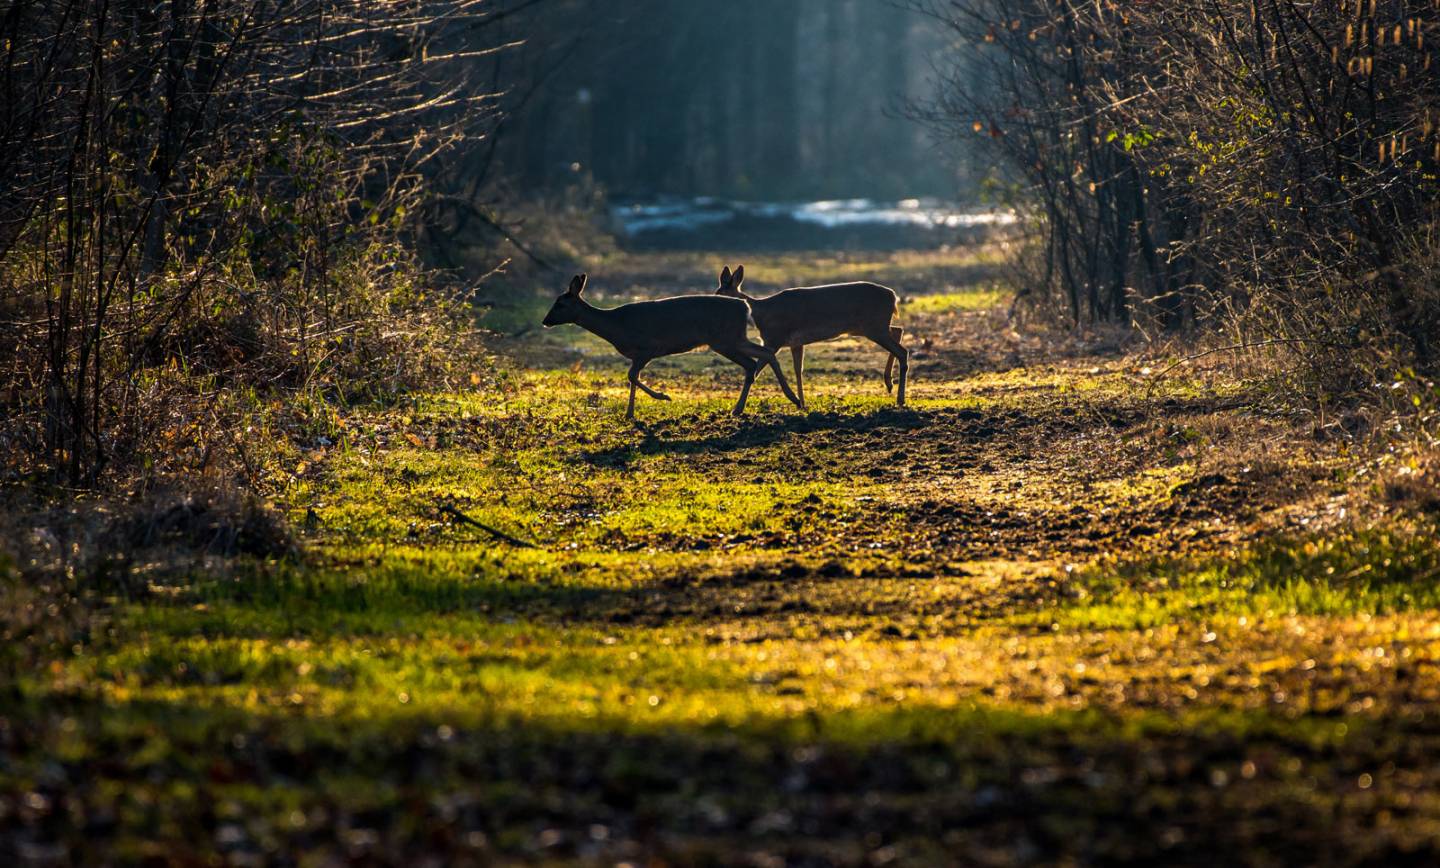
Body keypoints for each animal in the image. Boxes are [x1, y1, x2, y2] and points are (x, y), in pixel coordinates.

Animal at [541, 273, 806, 420]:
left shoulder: (647, 347)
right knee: (757, 359)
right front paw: (630, 413)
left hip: (726, 339)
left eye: (560, 304)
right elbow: (632, 378)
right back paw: (745, 408)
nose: (545, 321)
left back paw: (792, 399)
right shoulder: (638, 354)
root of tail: (745, 307)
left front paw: (663, 396)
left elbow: (632, 376)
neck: (616, 326)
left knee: (762, 354)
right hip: (729, 339)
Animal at [711, 264, 904, 408]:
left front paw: (737, 409)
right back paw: (889, 384)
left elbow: (756, 371)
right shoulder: (795, 342)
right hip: (871, 327)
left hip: (874, 327)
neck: (761, 313)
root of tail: (893, 295)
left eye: (719, 294)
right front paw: (802, 403)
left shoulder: (774, 339)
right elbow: (798, 370)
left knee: (902, 351)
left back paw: (899, 398)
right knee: (898, 330)